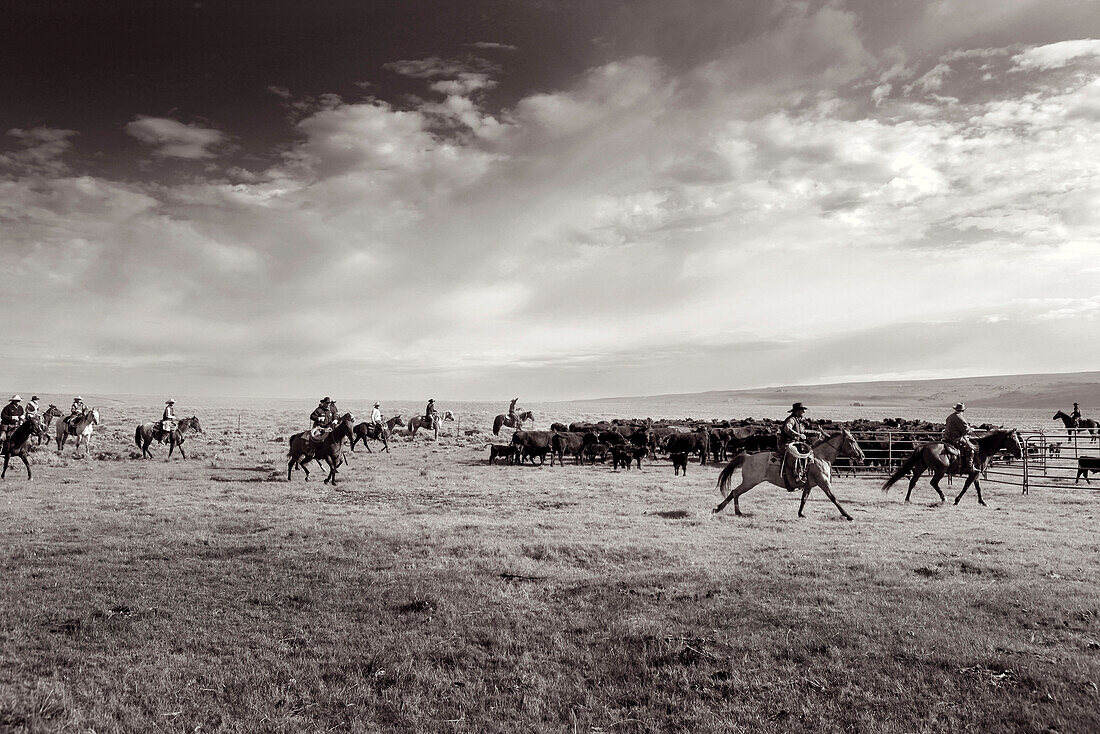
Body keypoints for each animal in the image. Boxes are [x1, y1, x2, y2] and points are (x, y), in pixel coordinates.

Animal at [712, 426, 866, 519]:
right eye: (851, 440)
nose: (862, 456)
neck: (821, 457)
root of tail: (748, 457)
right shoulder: (824, 483)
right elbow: (834, 498)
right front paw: (848, 515)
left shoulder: (809, 485)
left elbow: (804, 499)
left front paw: (801, 513)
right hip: (750, 482)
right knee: (735, 492)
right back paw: (732, 510)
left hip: (749, 482)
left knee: (734, 492)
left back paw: (724, 509)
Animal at [880, 426, 1025, 508]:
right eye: (1014, 439)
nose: (1020, 453)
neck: (983, 448)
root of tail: (924, 446)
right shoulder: (974, 472)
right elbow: (966, 487)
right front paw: (957, 500)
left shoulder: (976, 473)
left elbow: (977, 487)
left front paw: (982, 502)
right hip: (940, 470)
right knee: (933, 483)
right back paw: (944, 498)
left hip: (921, 468)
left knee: (913, 482)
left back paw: (907, 499)